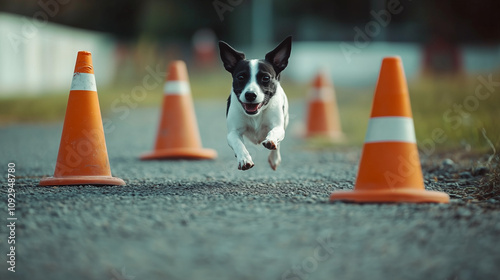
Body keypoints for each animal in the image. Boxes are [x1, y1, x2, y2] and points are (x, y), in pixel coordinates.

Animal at [220, 35, 292, 171]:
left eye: (266, 78)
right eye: (241, 77)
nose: (250, 95)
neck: (256, 115)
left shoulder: (278, 126)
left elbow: (275, 132)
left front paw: (271, 141)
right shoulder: (233, 132)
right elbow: (238, 143)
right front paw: (244, 159)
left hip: (285, 120)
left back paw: (274, 158)